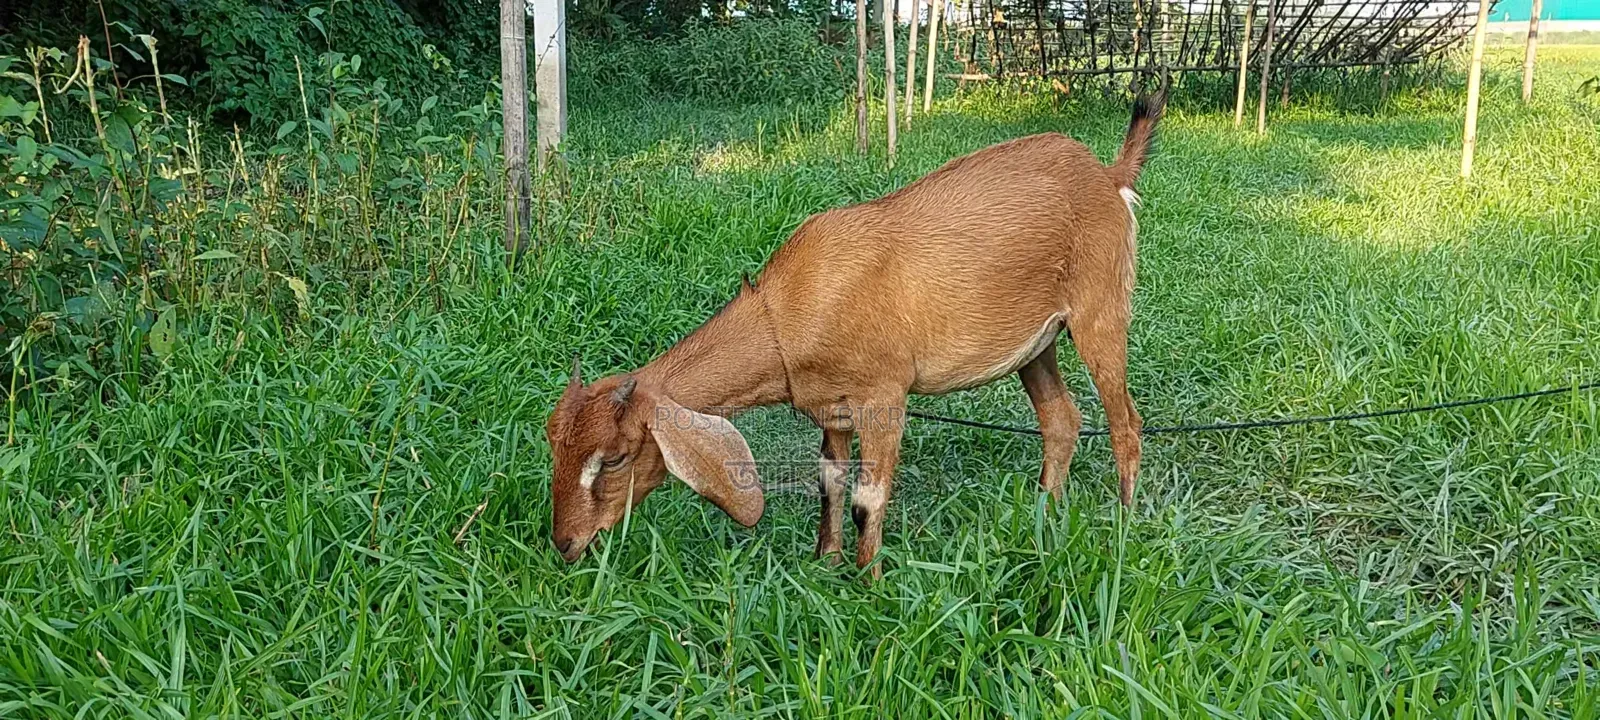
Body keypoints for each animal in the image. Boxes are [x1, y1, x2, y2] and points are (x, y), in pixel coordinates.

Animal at [545, 94, 1164, 578]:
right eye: (554, 443)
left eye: (616, 458)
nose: (566, 543)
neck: (785, 313)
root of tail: (1110, 178)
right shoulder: (833, 409)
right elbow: (831, 483)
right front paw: (826, 561)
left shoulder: (884, 396)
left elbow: (869, 496)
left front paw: (870, 582)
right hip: (1038, 345)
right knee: (1061, 418)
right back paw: (1044, 512)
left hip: (1101, 310)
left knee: (1125, 423)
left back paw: (1123, 523)